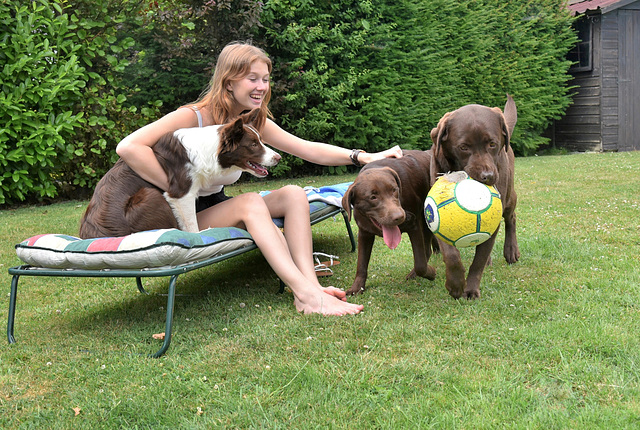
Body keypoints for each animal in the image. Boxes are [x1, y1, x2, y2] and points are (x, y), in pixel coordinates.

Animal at [80, 109, 280, 239]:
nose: (278, 158)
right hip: (150, 195)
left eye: (260, 140)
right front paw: (200, 236)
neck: (210, 150)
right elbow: (191, 224)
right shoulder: (181, 193)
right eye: (253, 144)